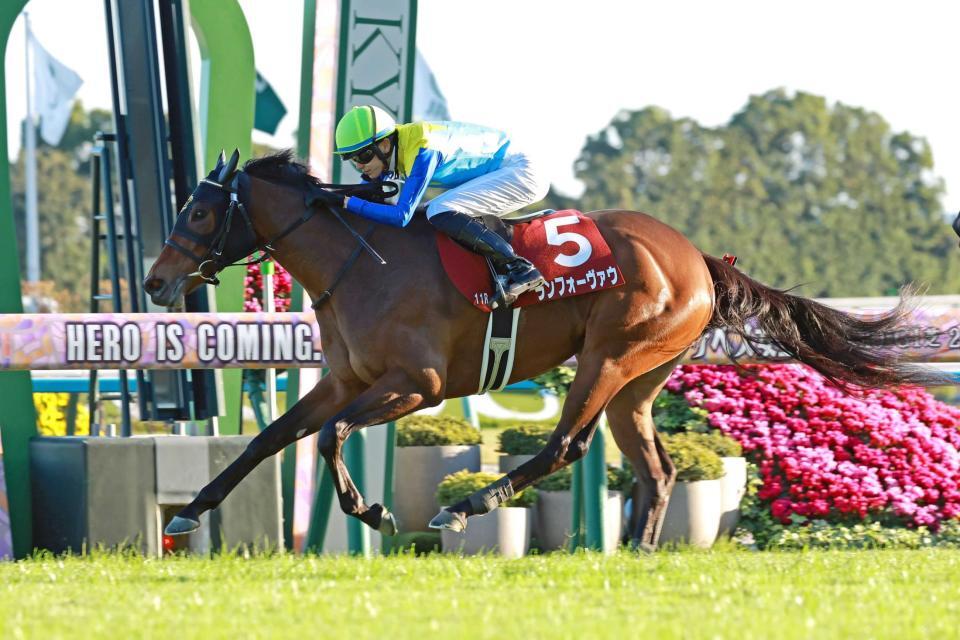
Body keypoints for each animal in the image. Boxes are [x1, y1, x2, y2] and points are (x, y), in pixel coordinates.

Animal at [144, 149, 935, 547]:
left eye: (201, 210)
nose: (155, 282)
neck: (359, 261)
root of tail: (699, 259)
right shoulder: (343, 380)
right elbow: (269, 439)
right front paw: (189, 512)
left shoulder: (418, 383)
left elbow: (332, 435)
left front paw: (372, 512)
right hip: (639, 381)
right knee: (656, 467)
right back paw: (639, 552)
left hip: (610, 355)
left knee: (567, 446)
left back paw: (466, 507)